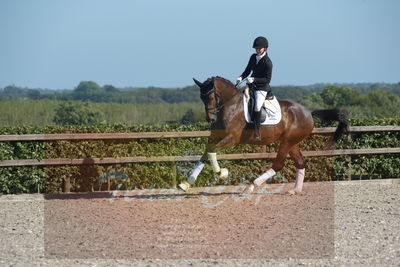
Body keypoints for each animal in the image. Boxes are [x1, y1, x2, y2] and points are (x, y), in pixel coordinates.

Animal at [177, 76, 346, 194]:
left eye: (212, 97)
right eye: (202, 98)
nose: (210, 119)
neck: (229, 106)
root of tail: (308, 112)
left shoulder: (232, 139)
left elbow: (211, 152)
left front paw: (221, 173)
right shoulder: (214, 137)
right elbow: (205, 153)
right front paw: (186, 183)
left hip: (287, 142)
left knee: (278, 165)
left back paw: (251, 186)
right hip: (292, 143)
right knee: (300, 163)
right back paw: (295, 190)